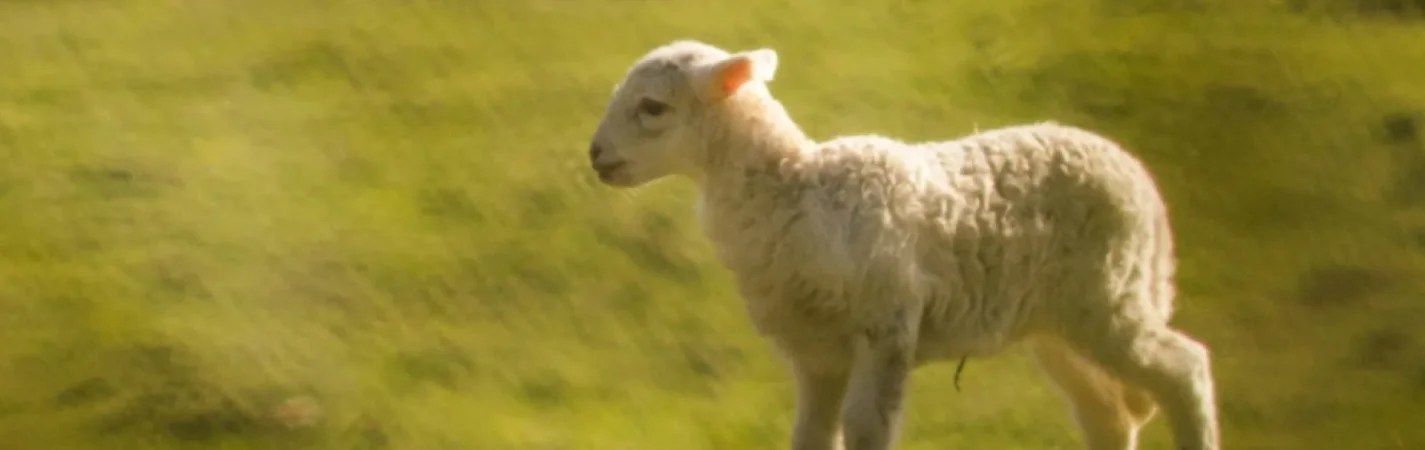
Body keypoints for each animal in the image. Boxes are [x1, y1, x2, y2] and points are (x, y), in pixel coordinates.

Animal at [585, 40, 1220, 450]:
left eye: (652, 107)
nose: (595, 156)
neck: (793, 188)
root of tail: (1140, 180)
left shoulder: (886, 324)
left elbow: (867, 428)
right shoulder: (817, 350)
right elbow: (813, 435)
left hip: (1108, 294)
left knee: (1184, 368)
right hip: (1057, 320)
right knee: (1108, 415)